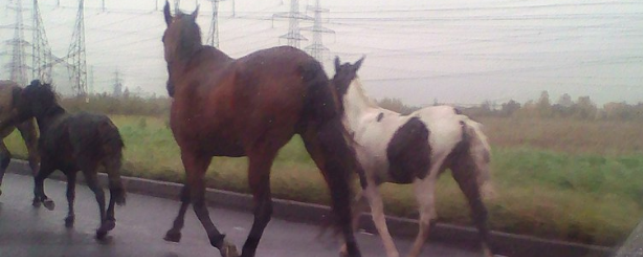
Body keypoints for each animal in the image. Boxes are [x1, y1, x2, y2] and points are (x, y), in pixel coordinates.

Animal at [0, 80, 126, 238]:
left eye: (24, 95)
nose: (10, 118)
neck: (50, 120)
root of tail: (106, 126)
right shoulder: (71, 171)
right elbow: (70, 194)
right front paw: (69, 218)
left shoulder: (49, 163)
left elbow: (39, 178)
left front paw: (46, 200)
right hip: (112, 164)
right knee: (114, 189)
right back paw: (110, 220)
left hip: (89, 168)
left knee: (100, 193)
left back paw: (102, 229)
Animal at [160, 2, 362, 256]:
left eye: (163, 38)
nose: (170, 87)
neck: (192, 69)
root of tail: (305, 65)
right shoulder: (202, 153)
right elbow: (188, 191)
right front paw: (174, 230)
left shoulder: (189, 150)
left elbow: (197, 198)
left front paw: (221, 242)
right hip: (317, 143)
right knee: (342, 201)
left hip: (260, 154)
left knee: (264, 209)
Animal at [332, 57, 498, 256]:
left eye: (332, 79)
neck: (361, 120)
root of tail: (463, 122)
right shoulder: (376, 179)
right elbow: (358, 205)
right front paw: (344, 248)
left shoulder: (368, 177)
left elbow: (376, 215)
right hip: (464, 174)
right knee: (480, 213)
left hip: (424, 179)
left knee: (428, 219)